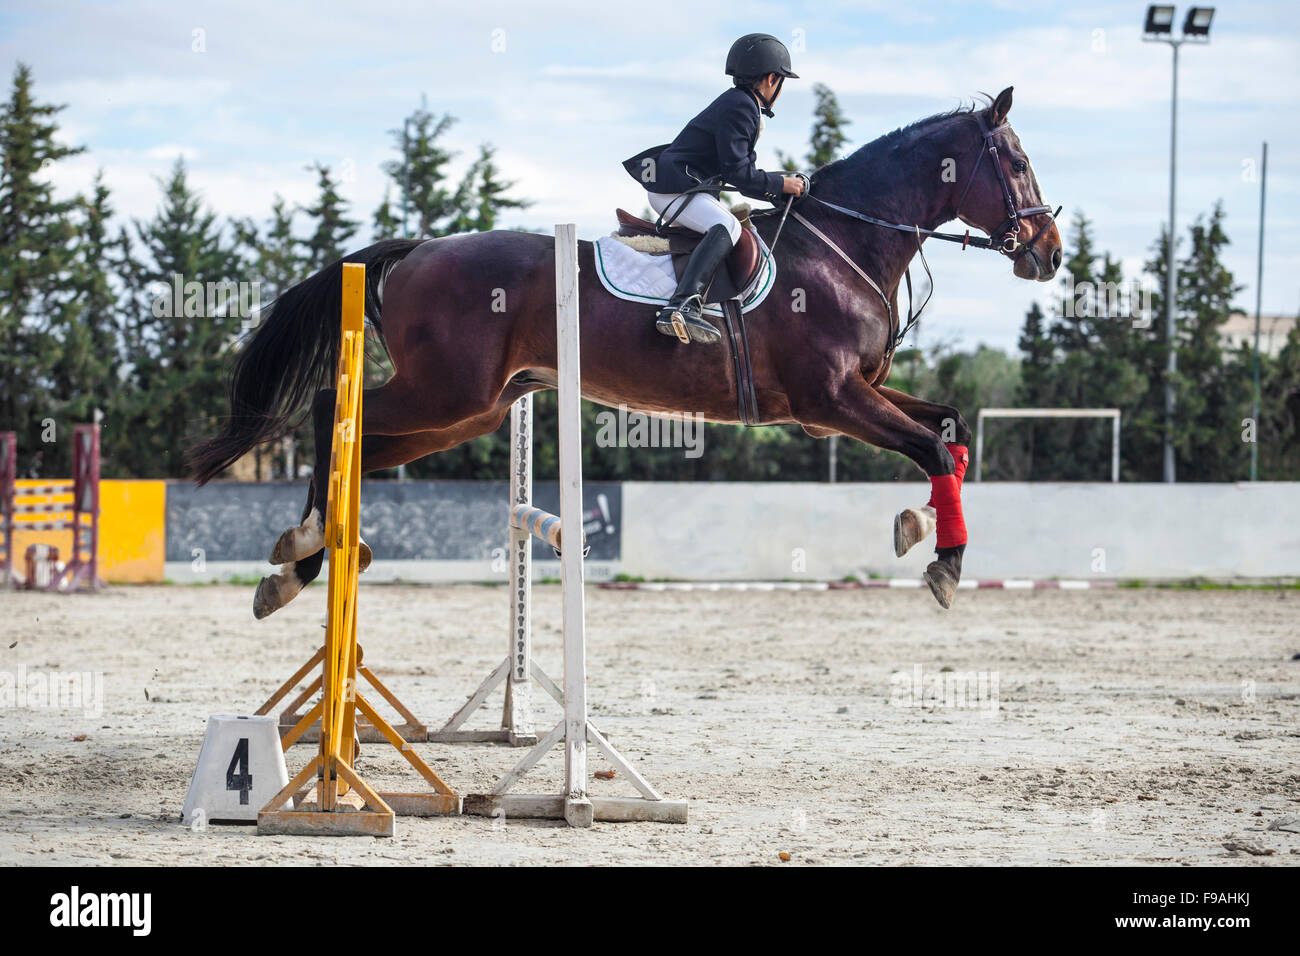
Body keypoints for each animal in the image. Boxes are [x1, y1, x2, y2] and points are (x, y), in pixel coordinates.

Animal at [189, 86, 1061, 617]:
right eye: (1017, 163)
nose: (1048, 254)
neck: (843, 241)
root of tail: (418, 250)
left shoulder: (849, 399)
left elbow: (950, 430)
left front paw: (920, 528)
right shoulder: (830, 401)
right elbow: (935, 449)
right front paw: (944, 563)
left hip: (472, 410)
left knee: (362, 444)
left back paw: (301, 563)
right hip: (447, 393)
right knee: (332, 410)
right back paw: (307, 546)